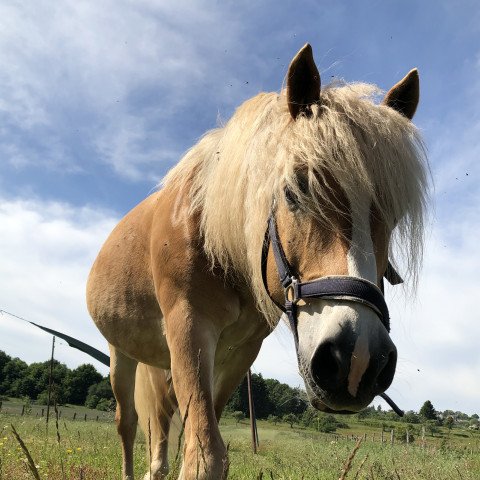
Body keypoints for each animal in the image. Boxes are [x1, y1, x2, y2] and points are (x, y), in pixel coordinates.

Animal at [86, 43, 428, 478]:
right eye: (295, 191)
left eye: (395, 217)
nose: (357, 359)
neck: (216, 240)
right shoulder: (188, 327)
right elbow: (204, 457)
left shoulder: (238, 353)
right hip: (121, 354)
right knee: (128, 423)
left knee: (159, 426)